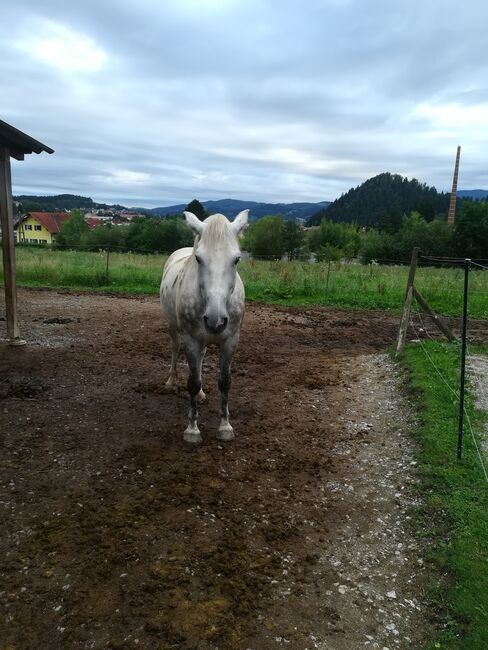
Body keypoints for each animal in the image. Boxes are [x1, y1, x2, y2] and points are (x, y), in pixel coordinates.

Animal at [160, 208, 250, 440]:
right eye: (199, 259)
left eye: (236, 259)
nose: (216, 319)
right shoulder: (191, 340)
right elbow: (192, 383)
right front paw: (192, 430)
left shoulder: (230, 340)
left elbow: (225, 382)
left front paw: (225, 427)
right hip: (174, 329)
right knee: (174, 349)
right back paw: (171, 382)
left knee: (200, 359)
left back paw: (201, 394)